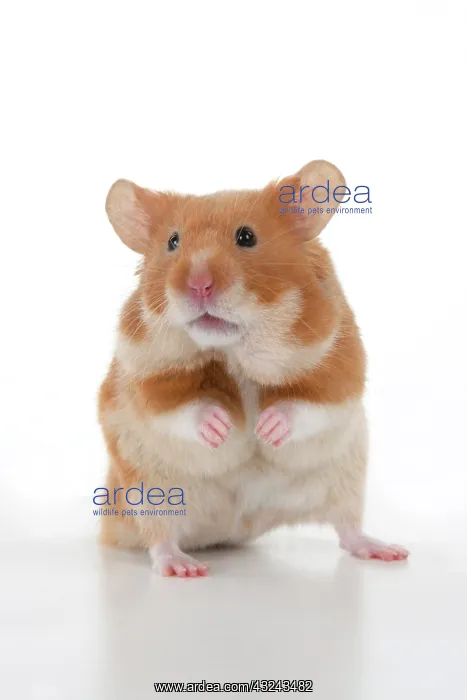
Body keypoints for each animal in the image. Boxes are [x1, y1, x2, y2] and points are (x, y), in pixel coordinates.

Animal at [98, 159, 408, 577]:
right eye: (173, 242)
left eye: (246, 237)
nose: (198, 285)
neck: (234, 349)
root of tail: (231, 530)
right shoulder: (144, 374)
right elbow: (179, 407)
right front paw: (224, 428)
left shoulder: (339, 363)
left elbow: (309, 403)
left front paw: (264, 428)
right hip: (149, 492)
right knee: (160, 539)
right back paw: (184, 567)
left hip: (345, 479)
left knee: (348, 530)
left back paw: (388, 551)